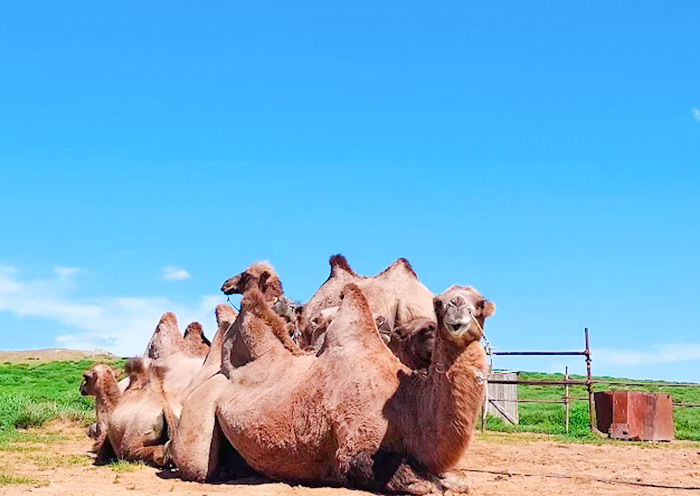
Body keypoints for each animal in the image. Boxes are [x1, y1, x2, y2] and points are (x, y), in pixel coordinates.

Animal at [170, 282, 495, 494]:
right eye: (439, 303)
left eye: (481, 304)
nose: (457, 312)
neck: (406, 404)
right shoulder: (350, 447)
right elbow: (412, 480)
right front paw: (427, 482)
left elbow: (459, 479)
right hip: (198, 415)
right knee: (197, 465)